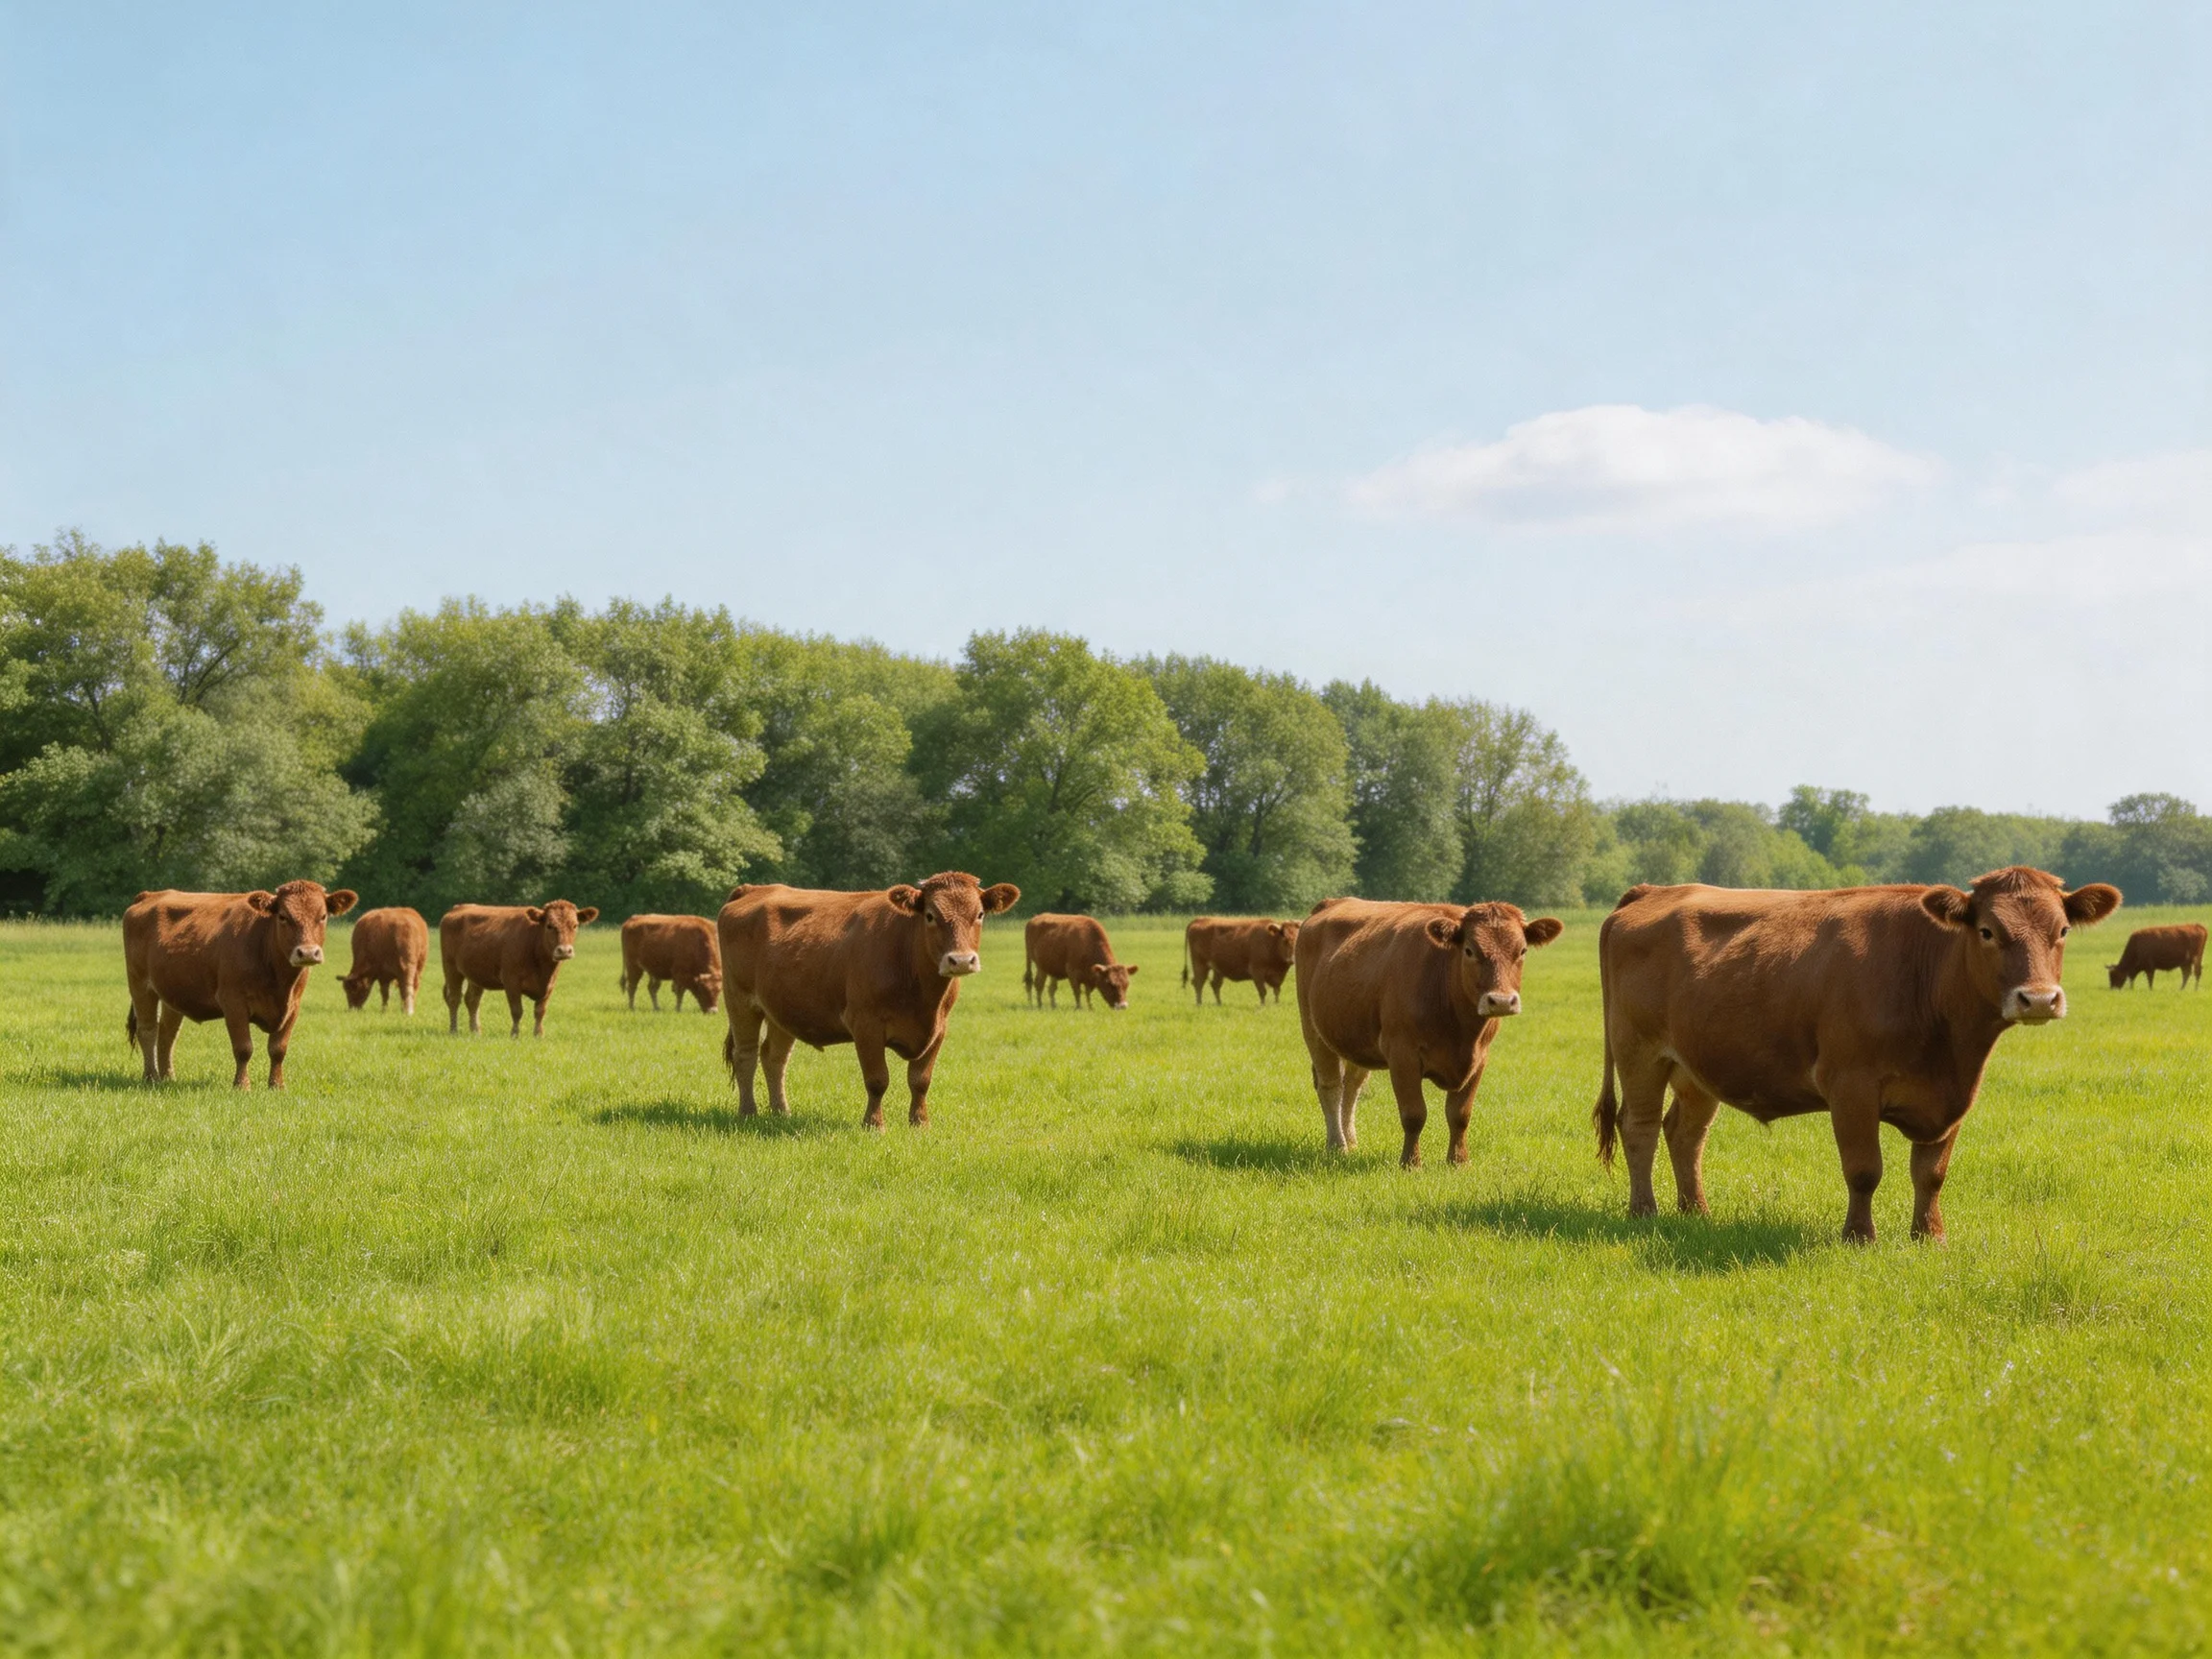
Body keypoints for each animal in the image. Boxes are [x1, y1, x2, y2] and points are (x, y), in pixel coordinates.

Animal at [123, 881, 358, 1088]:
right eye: (283, 916)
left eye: (323, 916)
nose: (308, 953)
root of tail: (150, 895)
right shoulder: (233, 1002)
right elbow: (243, 1048)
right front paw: (242, 1085)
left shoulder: (293, 1006)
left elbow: (278, 1049)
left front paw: (277, 1085)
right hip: (140, 984)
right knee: (148, 1030)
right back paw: (151, 1077)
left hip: (173, 992)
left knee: (167, 1034)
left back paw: (168, 1077)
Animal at [440, 901, 599, 1036]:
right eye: (549, 926)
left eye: (575, 925)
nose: (564, 950)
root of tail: (459, 907)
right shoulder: (511, 981)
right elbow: (517, 1011)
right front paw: (514, 1035)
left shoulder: (550, 985)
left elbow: (540, 1011)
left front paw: (538, 1035)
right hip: (451, 968)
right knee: (454, 998)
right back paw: (453, 1031)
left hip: (476, 974)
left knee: (472, 1000)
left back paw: (476, 1032)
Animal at [719, 871, 1019, 1129]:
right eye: (930, 915)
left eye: (979, 914)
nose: (961, 960)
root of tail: (754, 889)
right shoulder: (866, 1024)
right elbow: (877, 1080)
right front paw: (874, 1124)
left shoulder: (939, 1028)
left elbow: (920, 1080)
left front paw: (920, 1123)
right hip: (739, 1000)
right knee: (746, 1055)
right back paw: (748, 1112)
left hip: (783, 1008)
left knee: (774, 1057)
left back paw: (781, 1112)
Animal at [1295, 898, 1563, 1167]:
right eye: (1469, 950)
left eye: (1522, 951)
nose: (1501, 1001)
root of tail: (1332, 902)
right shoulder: (1402, 1054)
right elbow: (1414, 1114)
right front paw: (1411, 1163)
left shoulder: (1479, 1058)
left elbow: (1460, 1114)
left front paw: (1458, 1161)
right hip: (1313, 1030)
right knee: (1331, 1087)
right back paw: (1337, 1145)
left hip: (1356, 1039)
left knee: (1352, 1087)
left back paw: (1350, 1141)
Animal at [1593, 867, 2122, 1244]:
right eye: (1988, 931)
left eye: (2063, 930)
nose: (2039, 999)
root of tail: (1655, 890)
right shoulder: (1851, 1085)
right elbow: (1865, 1169)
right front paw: (1859, 1237)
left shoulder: (1954, 1095)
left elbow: (1931, 1173)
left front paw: (1929, 1237)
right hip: (1639, 1052)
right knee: (1639, 1127)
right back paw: (1645, 1212)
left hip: (1697, 1065)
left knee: (1685, 1133)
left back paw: (1696, 1212)